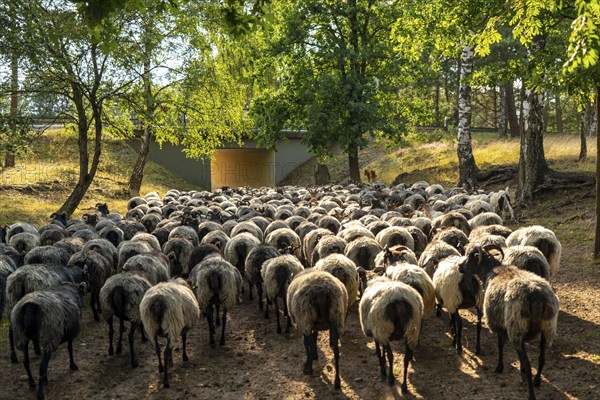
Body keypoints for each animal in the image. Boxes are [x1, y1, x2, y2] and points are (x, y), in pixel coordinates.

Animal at [462, 244, 560, 400]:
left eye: (469, 255)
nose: (460, 267)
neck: (491, 270)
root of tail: (537, 297)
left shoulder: (499, 321)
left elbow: (500, 344)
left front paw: (500, 367)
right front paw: (520, 371)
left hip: (516, 326)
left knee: (528, 364)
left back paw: (531, 393)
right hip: (547, 327)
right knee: (541, 358)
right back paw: (537, 381)